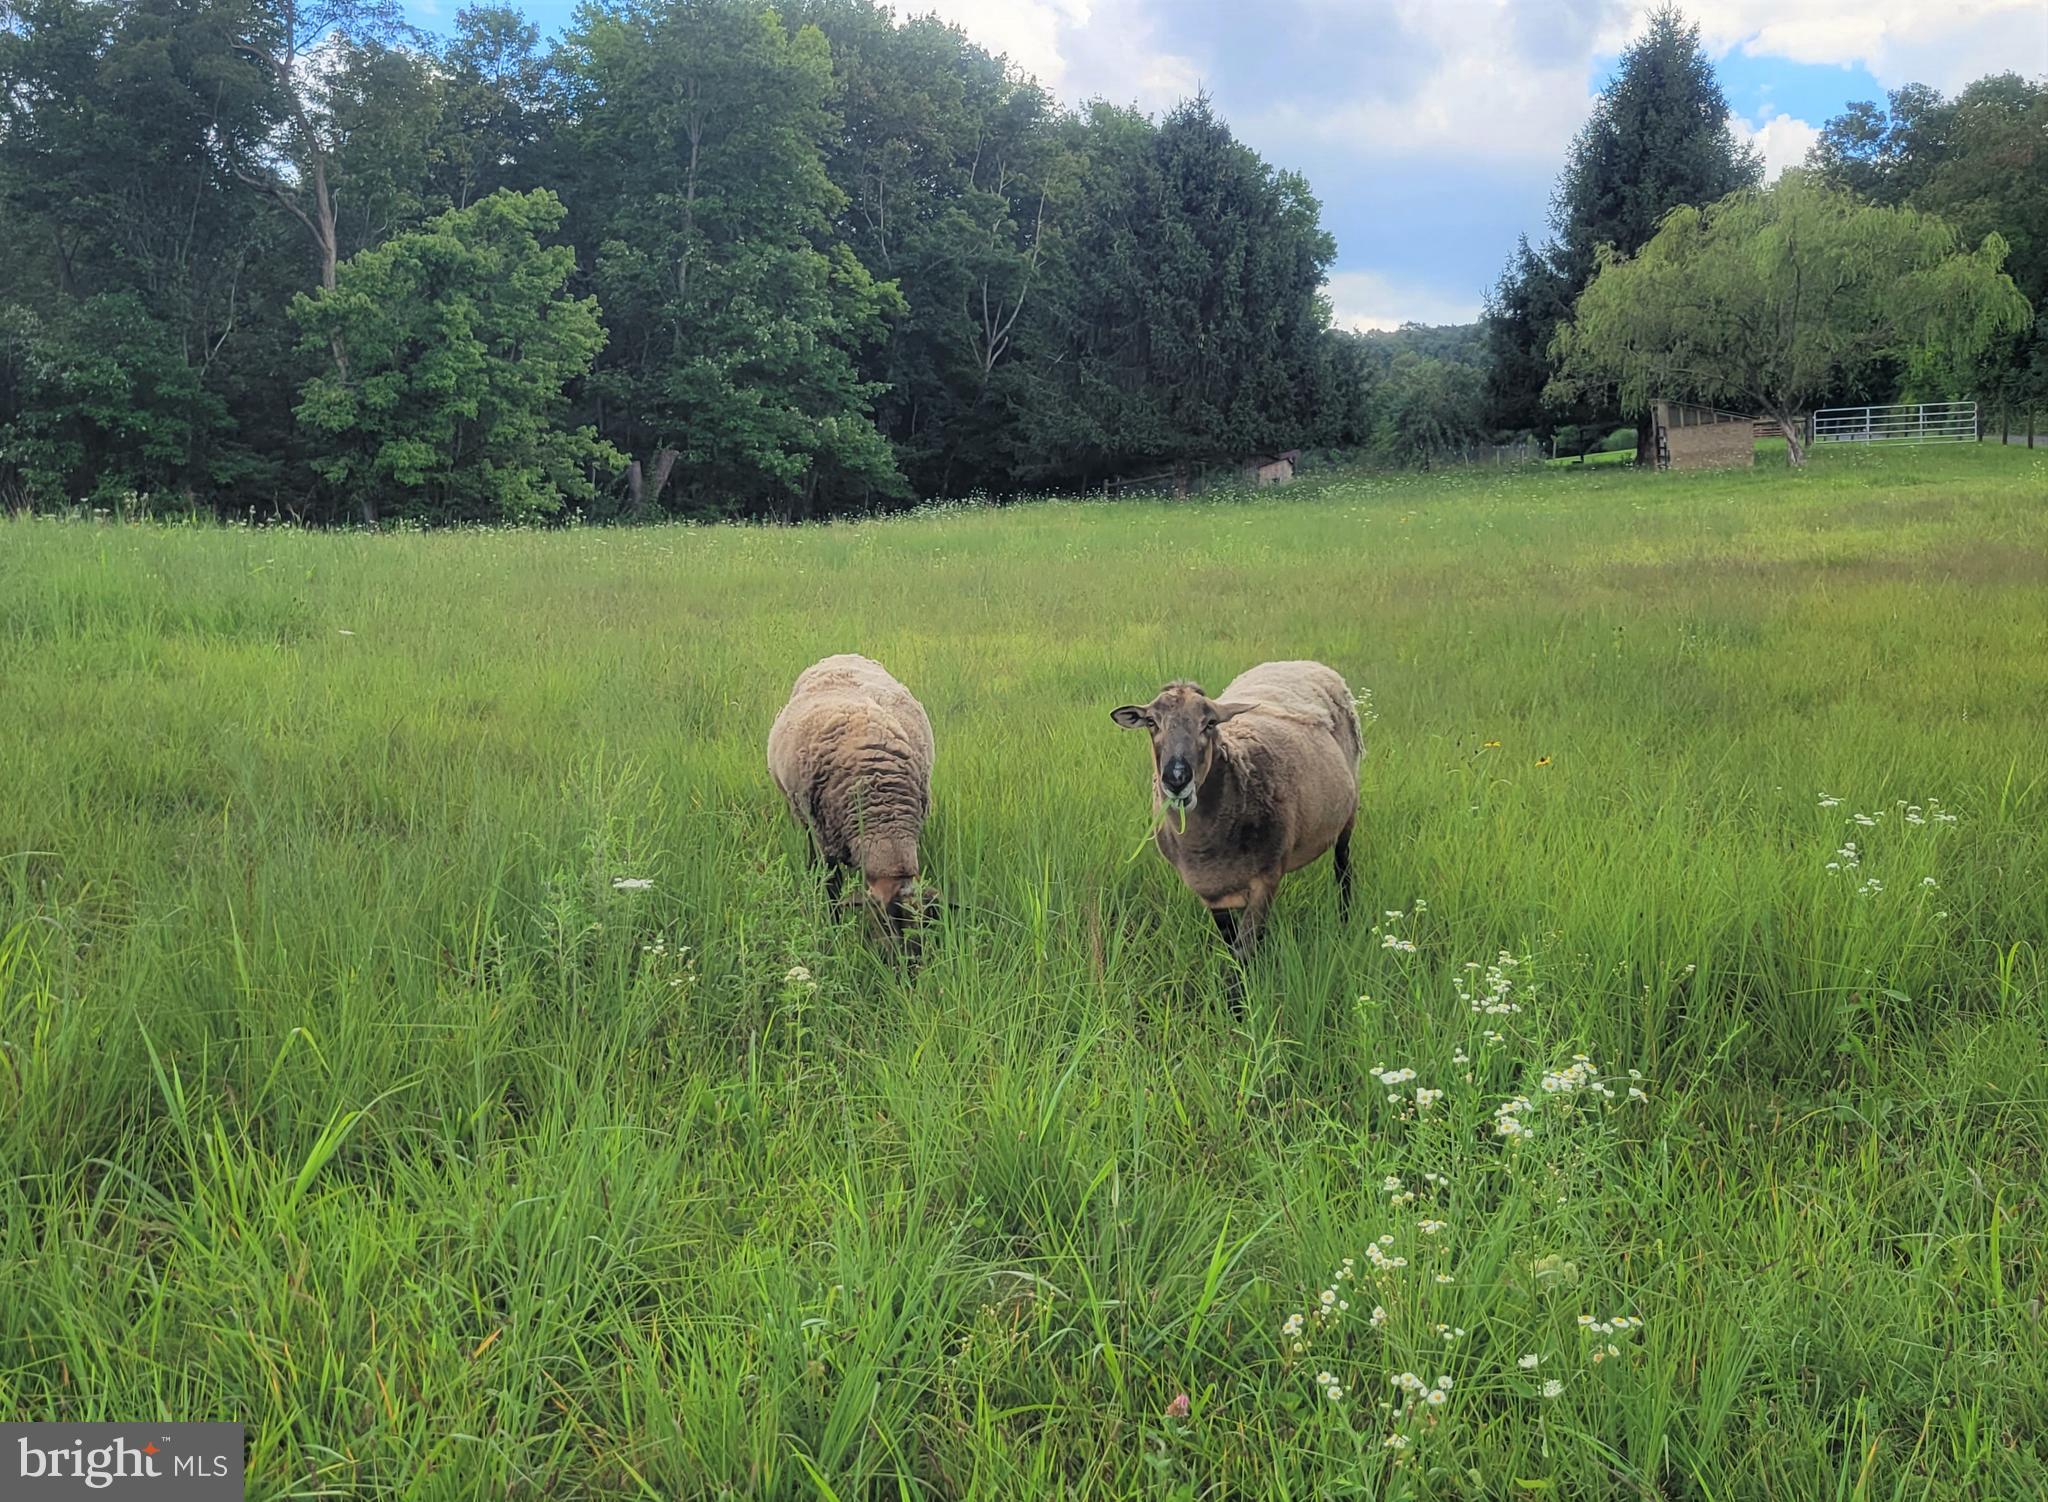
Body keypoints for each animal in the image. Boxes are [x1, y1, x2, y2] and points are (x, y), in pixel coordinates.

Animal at [768, 653, 939, 937]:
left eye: (924, 922)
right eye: (885, 921)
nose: (908, 953)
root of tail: (841, 654)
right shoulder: (828, 843)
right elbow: (832, 888)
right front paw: (834, 928)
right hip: (803, 813)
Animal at [1111, 660, 1362, 968]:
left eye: (1209, 723)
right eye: (1151, 722)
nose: (1176, 779)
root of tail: (1298, 661)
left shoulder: (1265, 881)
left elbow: (1246, 949)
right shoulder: (1212, 891)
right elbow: (1231, 946)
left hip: (1348, 810)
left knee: (1342, 867)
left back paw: (1344, 919)